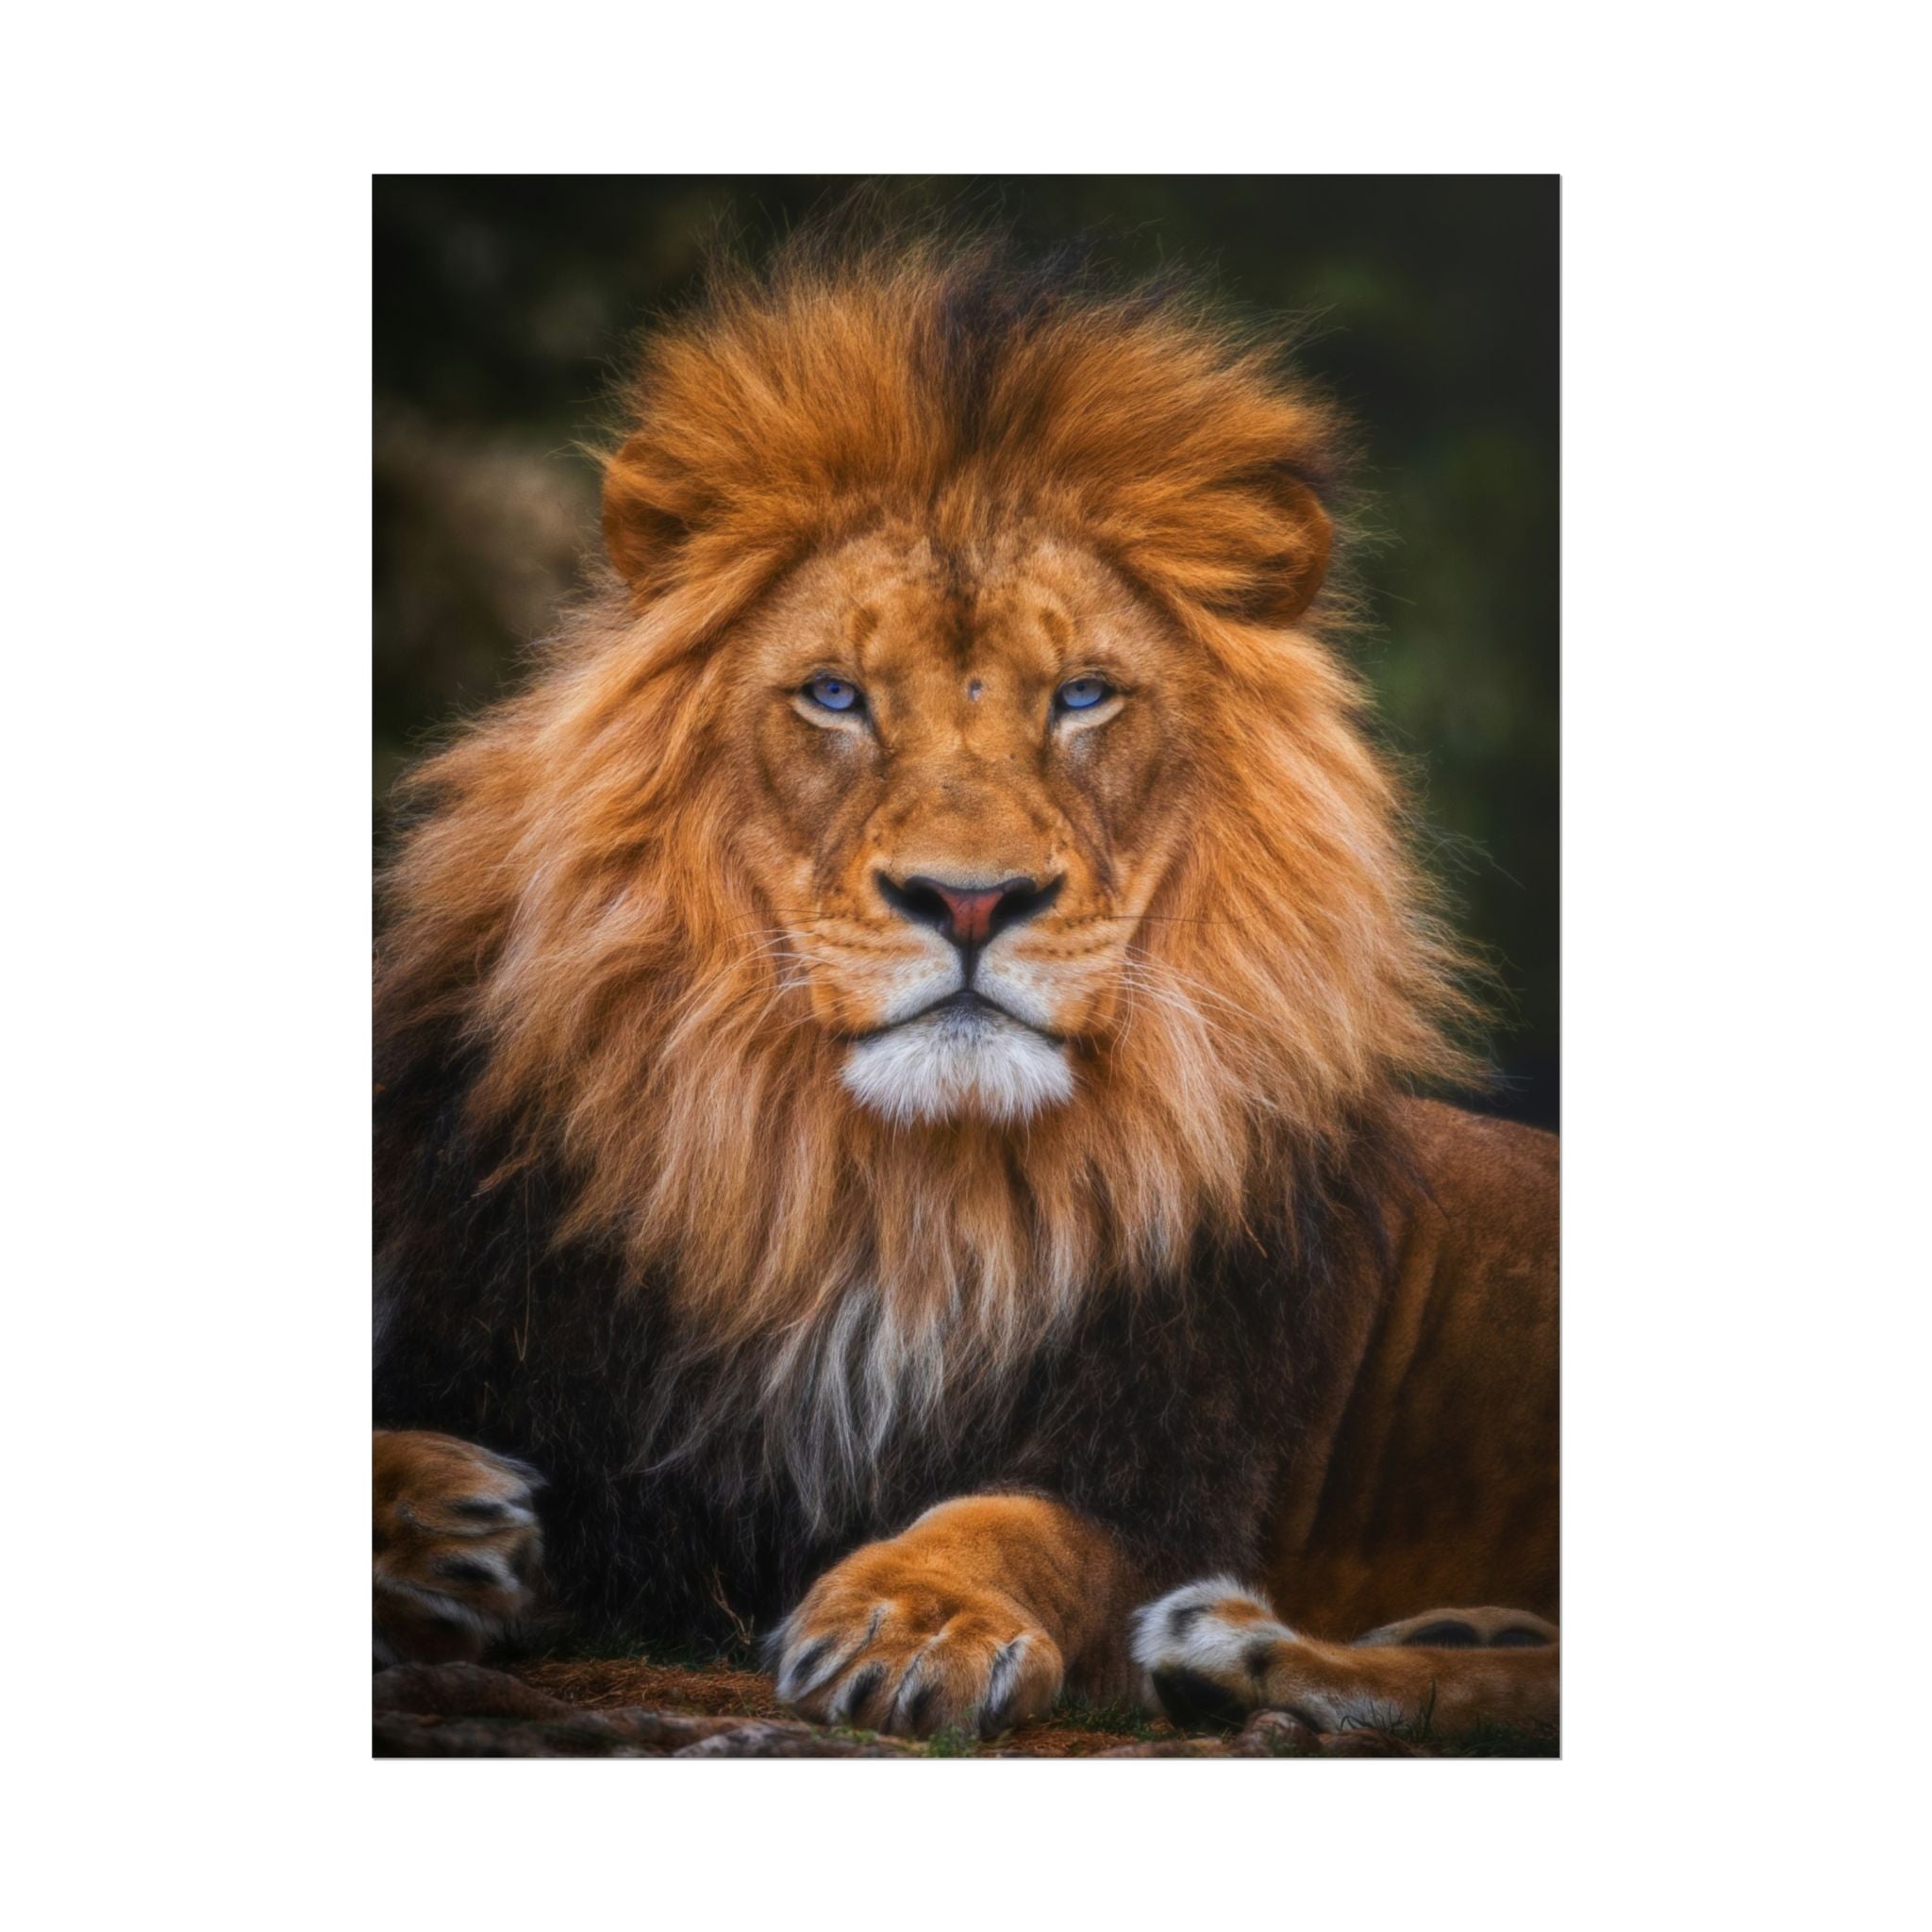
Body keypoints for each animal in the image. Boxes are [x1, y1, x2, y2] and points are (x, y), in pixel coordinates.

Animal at [372, 230, 1558, 1746]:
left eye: (1083, 696)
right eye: (833, 695)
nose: (972, 900)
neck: (886, 1197)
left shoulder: (1166, 1466)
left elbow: (1019, 1522)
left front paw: (912, 1617)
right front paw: (439, 1522)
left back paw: (1242, 1650)